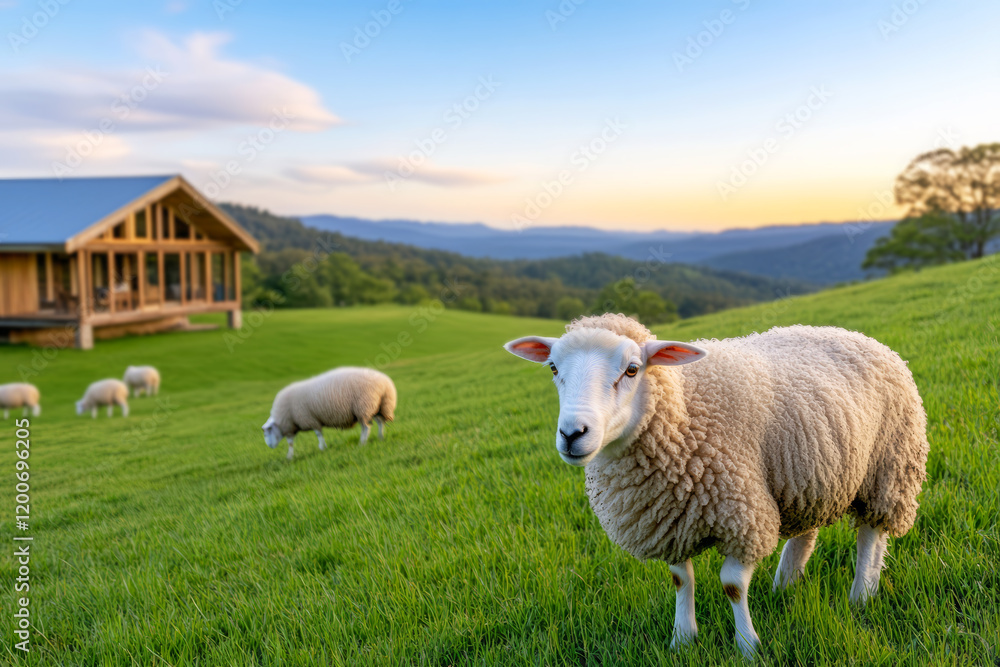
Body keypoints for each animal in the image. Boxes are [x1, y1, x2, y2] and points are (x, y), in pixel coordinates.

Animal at [262, 367, 396, 460]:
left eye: (268, 431)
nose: (269, 446)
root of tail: (385, 384)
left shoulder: (309, 420)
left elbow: (317, 434)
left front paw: (322, 448)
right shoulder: (295, 425)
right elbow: (292, 443)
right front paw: (290, 457)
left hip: (363, 407)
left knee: (366, 427)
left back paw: (362, 443)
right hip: (377, 407)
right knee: (380, 422)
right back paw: (380, 437)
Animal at [505, 314, 928, 658]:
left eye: (632, 369)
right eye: (553, 367)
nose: (572, 434)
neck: (683, 408)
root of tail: (854, 333)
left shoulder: (744, 513)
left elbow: (732, 586)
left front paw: (748, 645)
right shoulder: (668, 518)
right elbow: (681, 579)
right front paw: (682, 639)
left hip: (889, 467)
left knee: (872, 533)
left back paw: (862, 594)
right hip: (810, 475)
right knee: (806, 533)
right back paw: (784, 586)